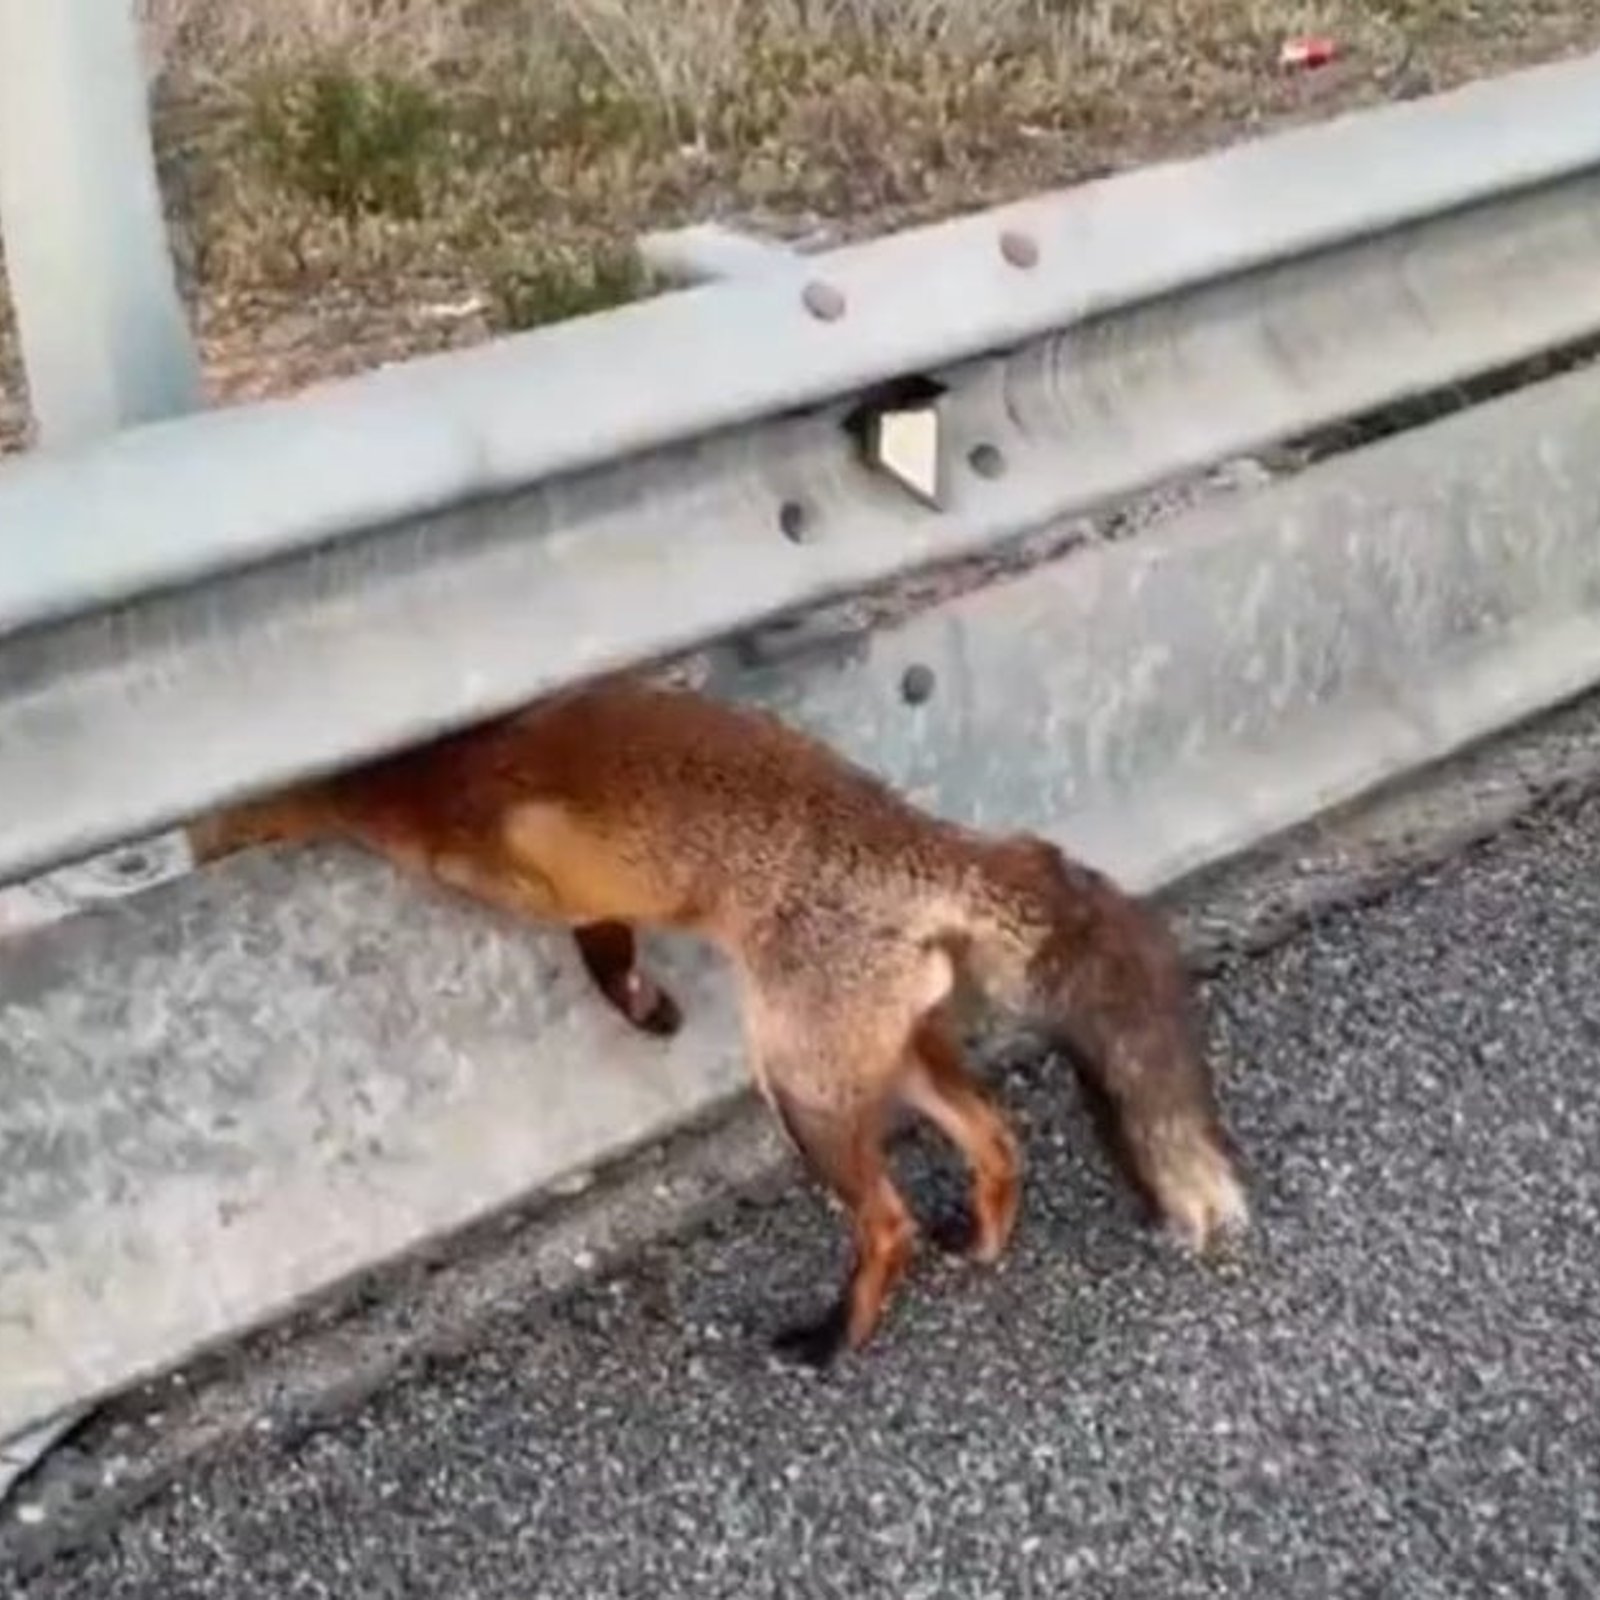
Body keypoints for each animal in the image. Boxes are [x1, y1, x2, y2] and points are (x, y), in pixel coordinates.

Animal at [187, 672, 1248, 1363]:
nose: (189, 852)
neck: (436, 769)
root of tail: (926, 844)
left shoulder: (532, 881)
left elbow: (597, 946)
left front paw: (638, 1004)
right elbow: (610, 953)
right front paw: (648, 1010)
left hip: (799, 1086)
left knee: (890, 1224)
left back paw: (833, 1341)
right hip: (887, 1060)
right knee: (999, 1141)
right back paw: (981, 1245)